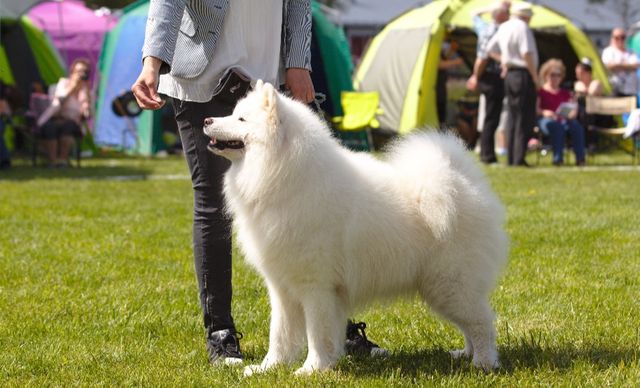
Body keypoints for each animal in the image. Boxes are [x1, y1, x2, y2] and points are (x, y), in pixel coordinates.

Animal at [202, 80, 508, 374]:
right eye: (233, 113)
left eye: (241, 119)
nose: (206, 120)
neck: (283, 174)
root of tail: (463, 183)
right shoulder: (282, 288)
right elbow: (280, 335)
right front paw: (268, 368)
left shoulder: (317, 286)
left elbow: (317, 333)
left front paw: (312, 369)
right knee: (471, 324)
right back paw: (464, 355)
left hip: (449, 284)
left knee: (481, 322)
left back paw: (483, 363)